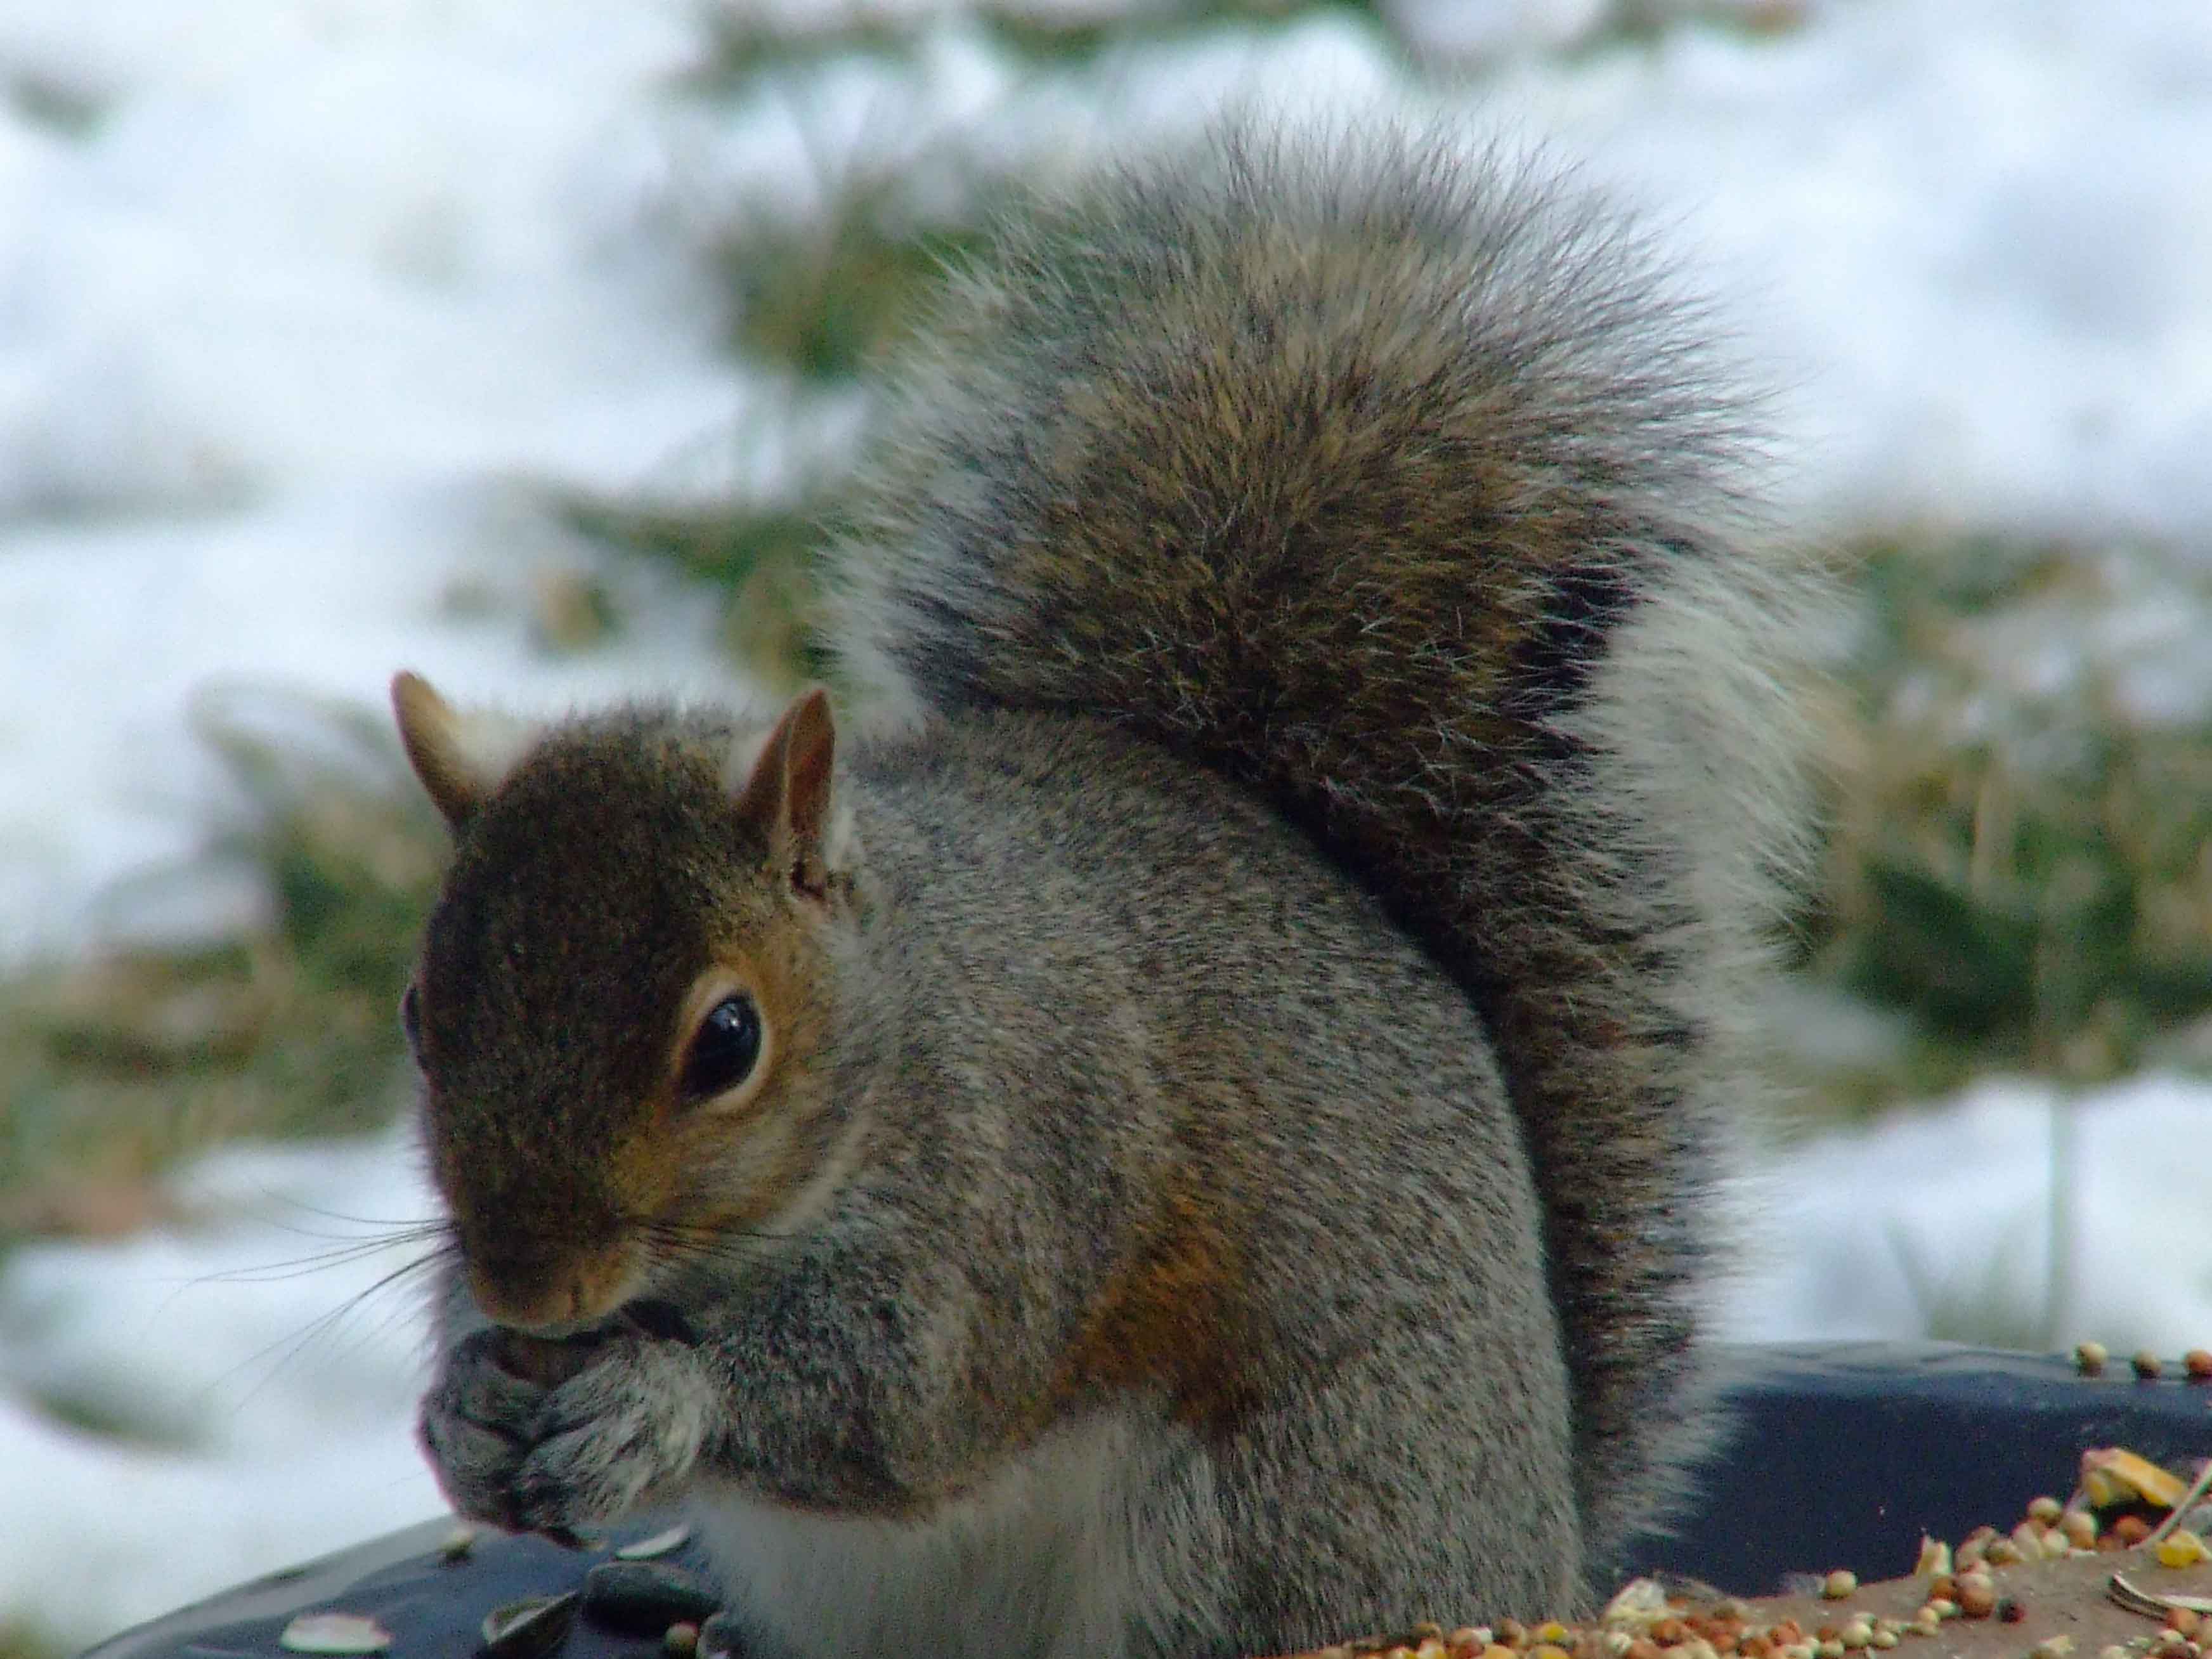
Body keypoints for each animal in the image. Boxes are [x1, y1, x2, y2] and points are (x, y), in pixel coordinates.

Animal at [398, 126, 1814, 1659]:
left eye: (727, 1041)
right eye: (420, 1015)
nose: (531, 1289)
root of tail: (1539, 1551)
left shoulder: (1025, 1164)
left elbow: (901, 1392)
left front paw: (655, 1400)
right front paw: (466, 1405)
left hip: (1266, 1530)